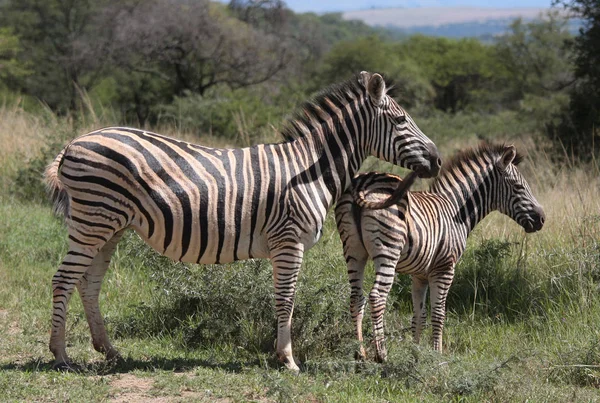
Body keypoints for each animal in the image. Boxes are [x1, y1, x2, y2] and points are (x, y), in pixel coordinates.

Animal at [45, 72, 440, 372]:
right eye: (401, 121)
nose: (437, 160)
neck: (309, 170)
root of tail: (73, 143)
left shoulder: (284, 244)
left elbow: (283, 297)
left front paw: (282, 355)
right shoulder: (288, 240)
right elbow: (286, 298)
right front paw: (288, 360)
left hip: (109, 226)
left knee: (89, 283)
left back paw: (108, 350)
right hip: (93, 220)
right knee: (64, 279)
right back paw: (61, 356)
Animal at [336, 143, 548, 362]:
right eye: (518, 187)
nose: (542, 219)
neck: (456, 211)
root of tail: (364, 181)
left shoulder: (419, 274)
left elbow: (419, 315)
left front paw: (416, 352)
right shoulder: (445, 267)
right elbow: (438, 313)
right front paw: (436, 354)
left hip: (353, 251)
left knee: (356, 297)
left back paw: (360, 352)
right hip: (388, 250)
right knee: (377, 297)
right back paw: (381, 354)